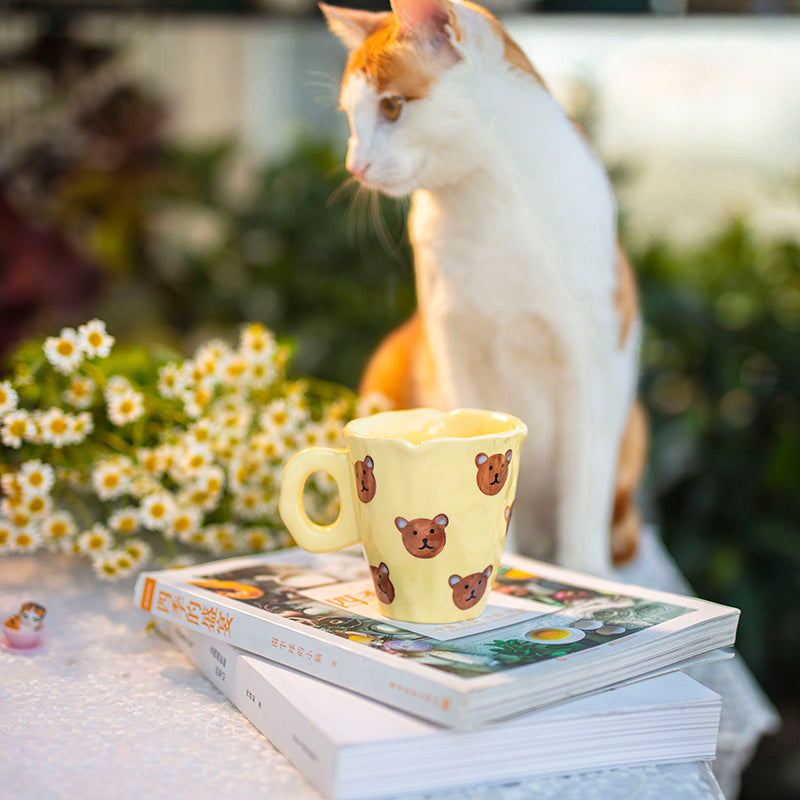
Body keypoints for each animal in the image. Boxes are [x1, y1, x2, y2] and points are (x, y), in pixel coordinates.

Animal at [322, 0, 648, 572]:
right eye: (349, 117)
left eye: (391, 107)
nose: (354, 165)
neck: (487, 206)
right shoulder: (456, 350)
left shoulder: (595, 365)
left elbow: (583, 492)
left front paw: (582, 572)